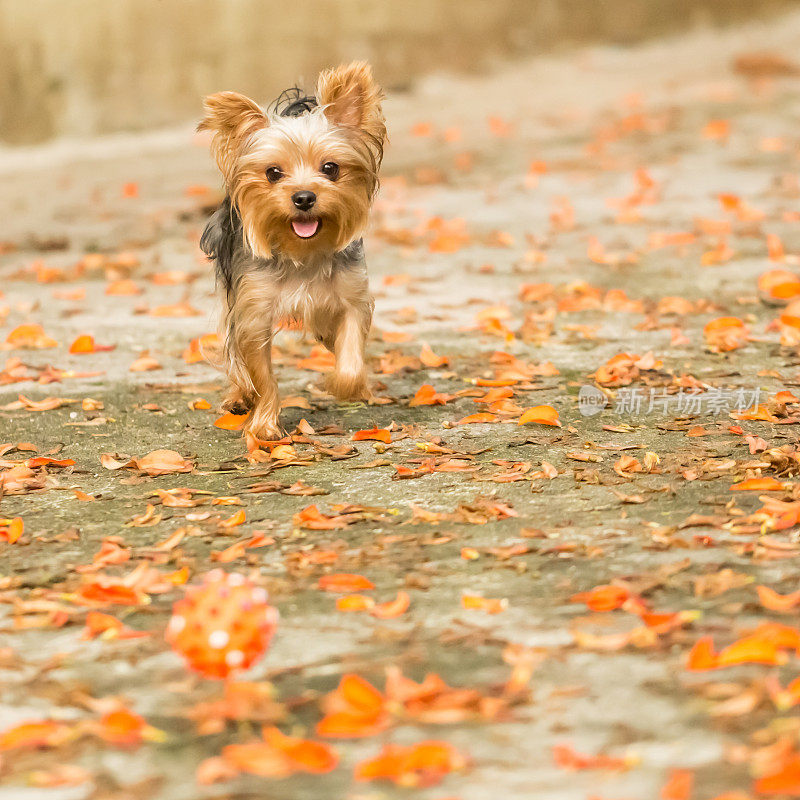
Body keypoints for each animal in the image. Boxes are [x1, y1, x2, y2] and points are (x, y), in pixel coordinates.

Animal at [197, 60, 384, 440]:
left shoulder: (351, 298)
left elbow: (350, 355)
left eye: (330, 168)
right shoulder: (253, 311)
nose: (304, 197)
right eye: (273, 173)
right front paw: (266, 426)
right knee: (232, 348)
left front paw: (345, 385)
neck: (303, 251)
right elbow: (261, 373)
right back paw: (240, 397)